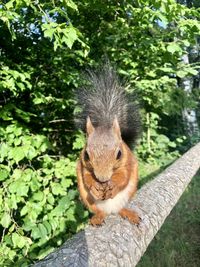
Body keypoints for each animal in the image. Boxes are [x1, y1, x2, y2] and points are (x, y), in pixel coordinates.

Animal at [76, 64, 141, 226]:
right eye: (86, 155)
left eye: (119, 154)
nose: (102, 179)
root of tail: (111, 210)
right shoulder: (83, 166)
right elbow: (86, 177)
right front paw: (94, 186)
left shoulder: (128, 162)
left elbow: (123, 176)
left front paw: (113, 186)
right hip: (88, 200)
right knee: (100, 211)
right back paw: (98, 217)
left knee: (120, 208)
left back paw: (128, 213)